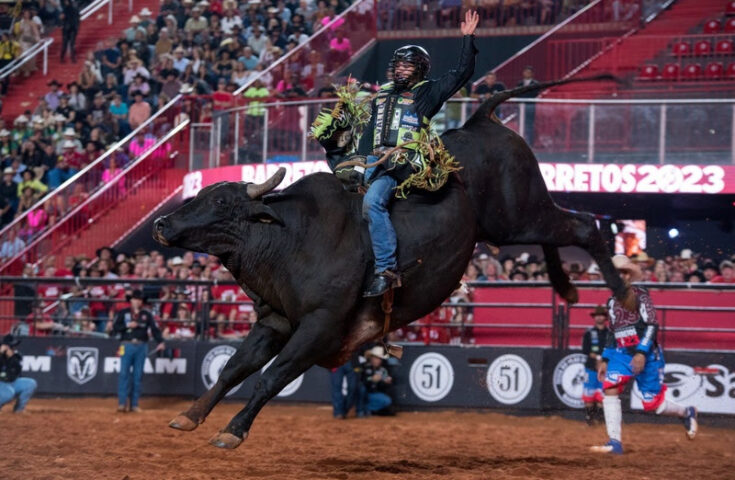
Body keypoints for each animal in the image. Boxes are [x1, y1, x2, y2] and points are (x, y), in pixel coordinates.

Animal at [154, 77, 628, 448]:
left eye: (220, 202)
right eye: (199, 195)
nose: (161, 223)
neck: (289, 238)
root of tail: (480, 120)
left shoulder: (321, 327)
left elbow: (271, 376)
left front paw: (232, 431)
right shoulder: (275, 320)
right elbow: (234, 367)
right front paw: (190, 415)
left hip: (517, 216)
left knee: (584, 226)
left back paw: (620, 293)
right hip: (516, 221)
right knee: (563, 229)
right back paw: (566, 286)